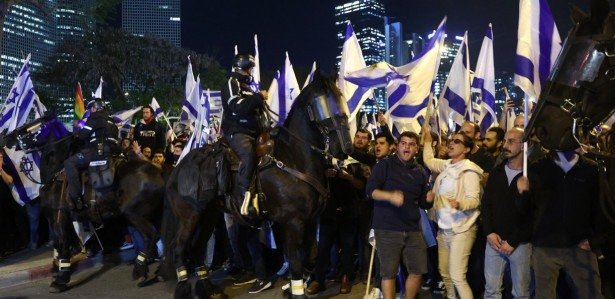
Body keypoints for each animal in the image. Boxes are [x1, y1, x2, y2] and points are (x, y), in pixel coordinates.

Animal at [3, 115, 166, 292]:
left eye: (31, 126)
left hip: (134, 215)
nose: (7, 138)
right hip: (156, 214)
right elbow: (65, 244)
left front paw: (60, 280)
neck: (56, 171)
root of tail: (159, 172)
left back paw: (140, 270)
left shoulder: (57, 217)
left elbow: (62, 244)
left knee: (151, 236)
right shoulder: (68, 219)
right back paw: (161, 270)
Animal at [159, 73, 354, 299]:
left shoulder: (310, 220)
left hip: (208, 216)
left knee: (197, 248)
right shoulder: (293, 222)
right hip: (189, 217)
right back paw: (184, 289)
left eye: (341, 99)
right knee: (179, 248)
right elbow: (296, 261)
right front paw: (296, 292)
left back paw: (208, 289)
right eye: (323, 104)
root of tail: (178, 168)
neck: (293, 158)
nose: (345, 148)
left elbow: (307, 257)